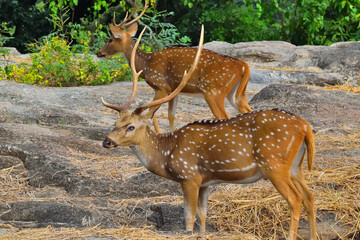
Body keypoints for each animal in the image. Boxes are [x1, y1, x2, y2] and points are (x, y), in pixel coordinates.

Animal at [97, 0, 252, 132]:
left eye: (110, 39)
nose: (99, 52)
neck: (146, 64)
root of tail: (244, 66)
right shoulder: (174, 90)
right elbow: (170, 115)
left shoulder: (161, 86)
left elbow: (152, 114)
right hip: (236, 94)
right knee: (249, 111)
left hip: (214, 92)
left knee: (226, 118)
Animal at [102, 24, 318, 240]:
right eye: (115, 122)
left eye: (131, 126)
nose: (107, 141)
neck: (166, 154)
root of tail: (305, 126)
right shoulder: (205, 182)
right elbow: (202, 216)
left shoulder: (189, 176)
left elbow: (189, 217)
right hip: (295, 166)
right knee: (309, 195)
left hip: (273, 163)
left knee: (295, 199)